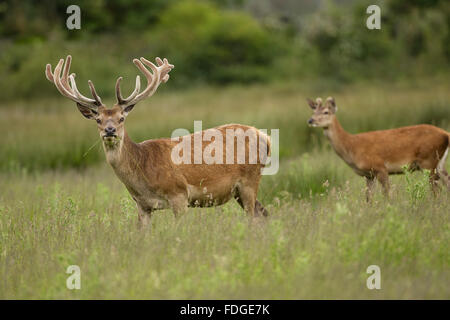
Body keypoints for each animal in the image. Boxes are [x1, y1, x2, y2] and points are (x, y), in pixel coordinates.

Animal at [45, 55, 270, 225]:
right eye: (98, 119)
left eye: (121, 118)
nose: (110, 130)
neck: (143, 172)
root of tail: (265, 136)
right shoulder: (142, 205)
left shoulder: (179, 194)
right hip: (240, 190)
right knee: (263, 213)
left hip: (250, 180)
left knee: (255, 216)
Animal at [308, 97, 448, 200]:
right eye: (313, 112)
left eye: (326, 112)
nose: (310, 120)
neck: (352, 147)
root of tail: (446, 134)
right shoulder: (369, 175)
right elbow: (368, 198)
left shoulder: (380, 167)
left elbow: (387, 195)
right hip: (438, 163)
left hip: (428, 161)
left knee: (437, 190)